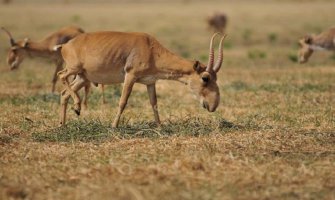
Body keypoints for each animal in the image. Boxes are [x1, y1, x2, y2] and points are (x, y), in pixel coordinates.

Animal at [57, 31, 227, 128]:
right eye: (205, 78)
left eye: (216, 77)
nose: (213, 105)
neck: (150, 48)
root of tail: (65, 45)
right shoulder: (130, 76)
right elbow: (123, 101)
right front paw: (114, 126)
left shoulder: (150, 82)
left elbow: (154, 103)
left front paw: (160, 127)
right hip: (74, 70)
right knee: (61, 75)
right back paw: (76, 107)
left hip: (82, 77)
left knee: (64, 94)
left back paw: (63, 124)